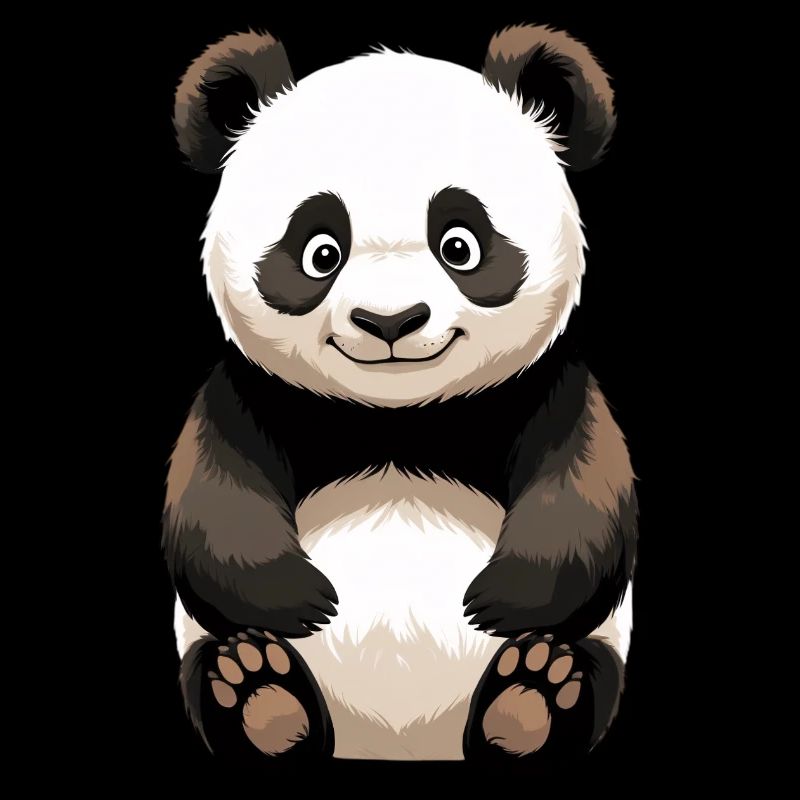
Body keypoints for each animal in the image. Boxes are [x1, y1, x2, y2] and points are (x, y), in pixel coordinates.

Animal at [166, 23, 638, 765]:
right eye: (321, 252)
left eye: (461, 245)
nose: (389, 321)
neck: (398, 419)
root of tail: (403, 743)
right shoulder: (251, 392)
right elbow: (213, 495)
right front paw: (301, 598)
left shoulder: (545, 386)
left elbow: (585, 487)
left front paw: (499, 599)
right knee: (219, 667)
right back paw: (260, 695)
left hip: (599, 647)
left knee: (583, 671)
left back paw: (531, 697)